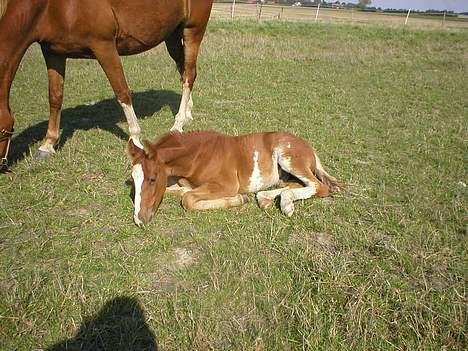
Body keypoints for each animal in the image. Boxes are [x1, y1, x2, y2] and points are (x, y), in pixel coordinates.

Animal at [0, 0, 214, 170]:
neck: (51, 6)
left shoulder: (103, 46)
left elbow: (122, 92)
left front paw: (136, 139)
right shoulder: (53, 52)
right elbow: (55, 97)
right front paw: (47, 145)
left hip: (193, 30)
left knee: (188, 74)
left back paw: (177, 125)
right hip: (171, 34)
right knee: (184, 69)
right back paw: (187, 113)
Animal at [127, 131, 340, 226]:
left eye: (152, 179)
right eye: (134, 182)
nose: (139, 219)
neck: (198, 155)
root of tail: (308, 146)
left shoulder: (227, 185)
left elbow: (187, 199)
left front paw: (239, 199)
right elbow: (181, 191)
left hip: (289, 159)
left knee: (319, 186)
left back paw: (285, 204)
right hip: (284, 175)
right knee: (295, 184)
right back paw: (265, 199)